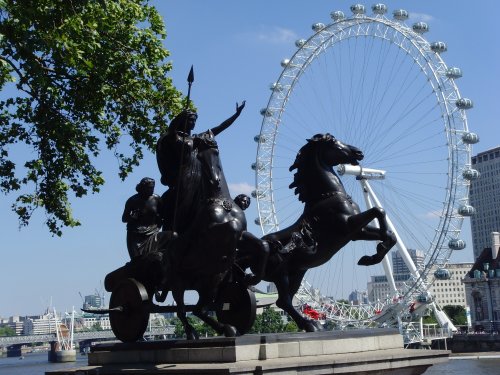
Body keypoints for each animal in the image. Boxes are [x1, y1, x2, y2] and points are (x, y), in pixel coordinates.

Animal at [242, 134, 394, 332]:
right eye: (334, 143)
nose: (359, 152)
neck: (327, 195)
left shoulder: (355, 233)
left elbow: (388, 232)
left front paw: (373, 256)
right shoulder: (346, 225)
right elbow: (378, 210)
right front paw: (375, 254)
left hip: (298, 271)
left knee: (285, 300)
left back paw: (311, 324)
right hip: (280, 273)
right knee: (283, 301)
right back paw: (310, 324)